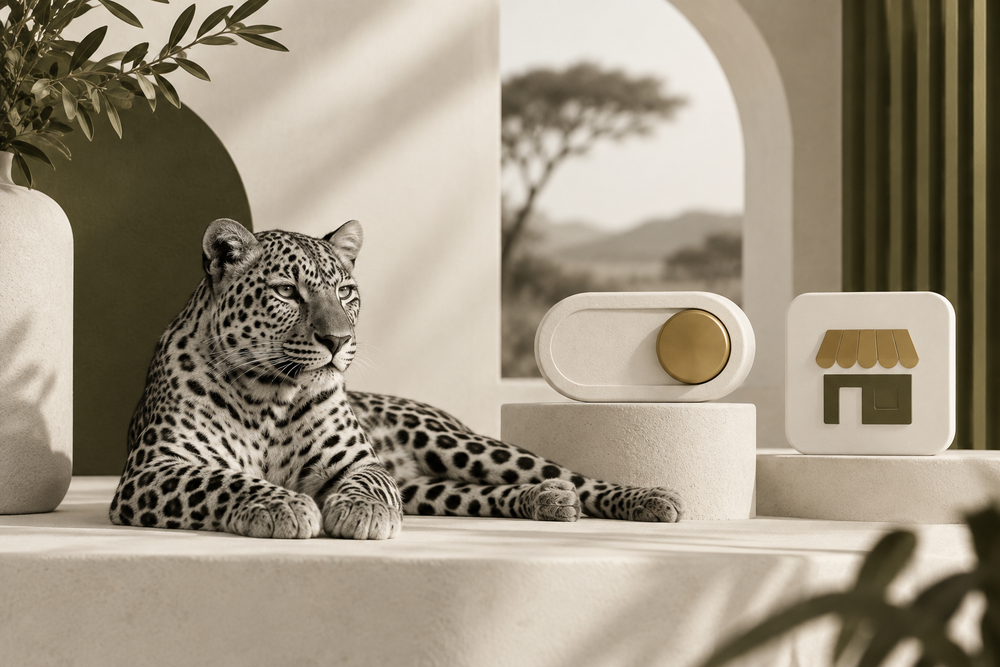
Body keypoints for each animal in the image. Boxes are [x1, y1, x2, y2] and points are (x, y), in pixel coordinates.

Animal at [109, 218, 684, 539]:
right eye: (287, 292)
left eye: (345, 291)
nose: (338, 340)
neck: (270, 394)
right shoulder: (153, 468)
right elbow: (224, 480)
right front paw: (285, 505)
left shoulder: (360, 462)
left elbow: (366, 482)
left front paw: (360, 512)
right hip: (427, 486)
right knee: (476, 492)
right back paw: (547, 501)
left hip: (458, 443)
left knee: (569, 474)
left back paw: (648, 499)